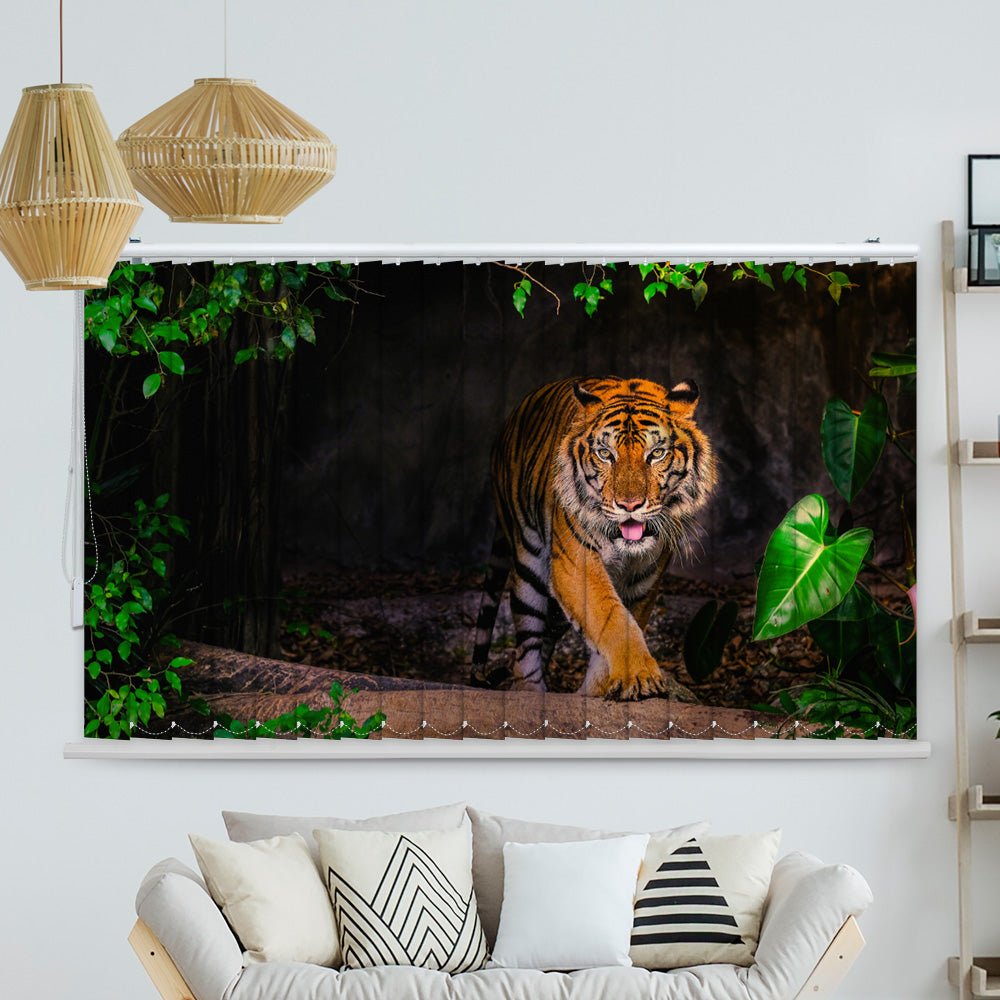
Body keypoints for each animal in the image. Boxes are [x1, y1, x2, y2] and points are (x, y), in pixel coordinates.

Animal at [471, 376, 717, 700]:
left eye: (656, 454)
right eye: (605, 454)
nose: (629, 505)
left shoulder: (645, 580)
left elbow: (623, 623)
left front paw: (600, 688)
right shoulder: (576, 565)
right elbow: (612, 618)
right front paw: (640, 676)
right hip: (529, 566)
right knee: (526, 648)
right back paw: (530, 691)